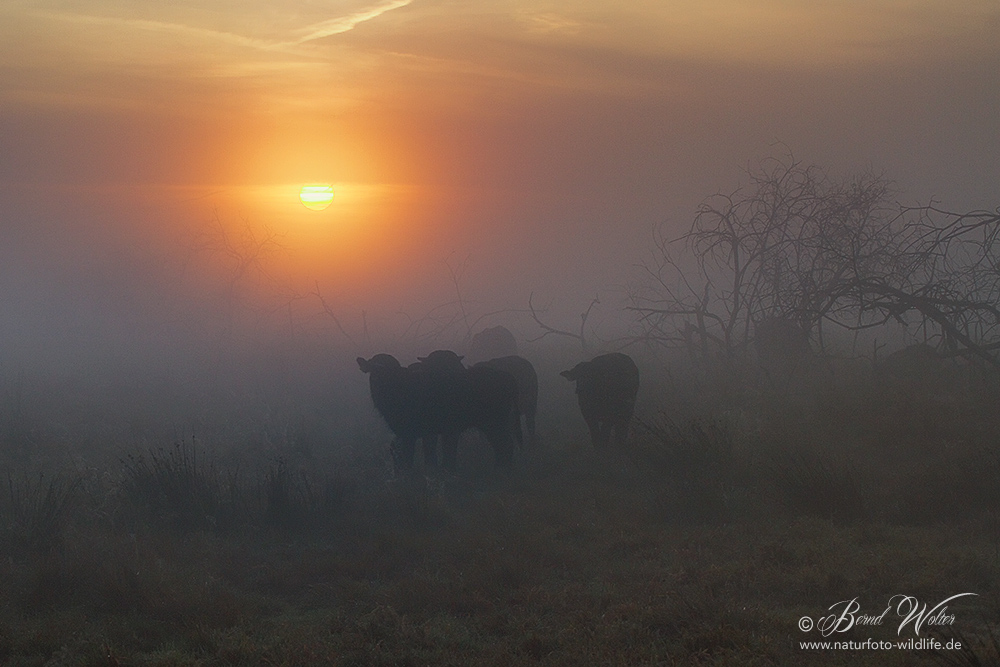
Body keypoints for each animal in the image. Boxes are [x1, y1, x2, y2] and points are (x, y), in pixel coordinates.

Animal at [358, 352, 516, 472]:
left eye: (391, 368)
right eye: (372, 368)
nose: (379, 376)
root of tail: (509, 378)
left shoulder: (411, 432)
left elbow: (409, 458)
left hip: (494, 421)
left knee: (505, 445)